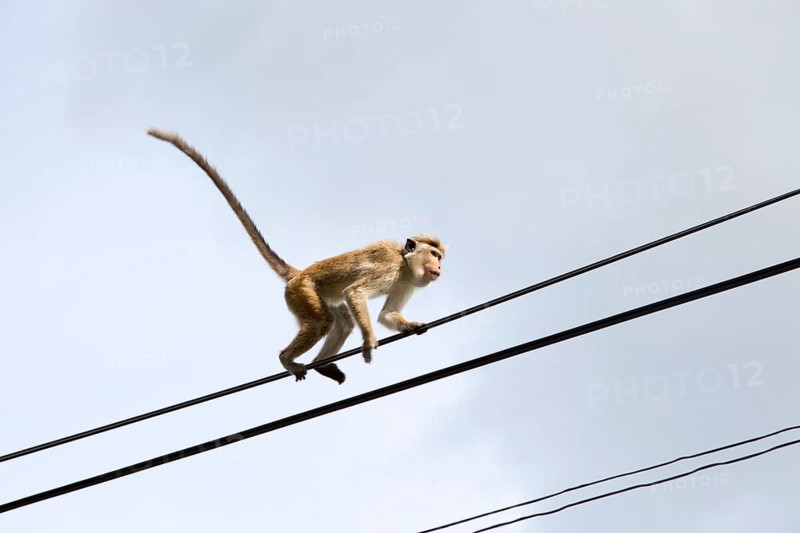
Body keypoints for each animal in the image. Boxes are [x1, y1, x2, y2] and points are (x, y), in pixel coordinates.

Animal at [147, 128, 446, 384]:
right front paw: (369, 339)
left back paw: (321, 365)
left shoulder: (405, 281)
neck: (404, 263)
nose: (439, 268)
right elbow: (356, 292)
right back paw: (287, 359)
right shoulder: (389, 266)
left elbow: (387, 314)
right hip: (301, 291)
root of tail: (299, 273)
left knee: (342, 321)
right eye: (433, 254)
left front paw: (410, 325)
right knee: (322, 321)